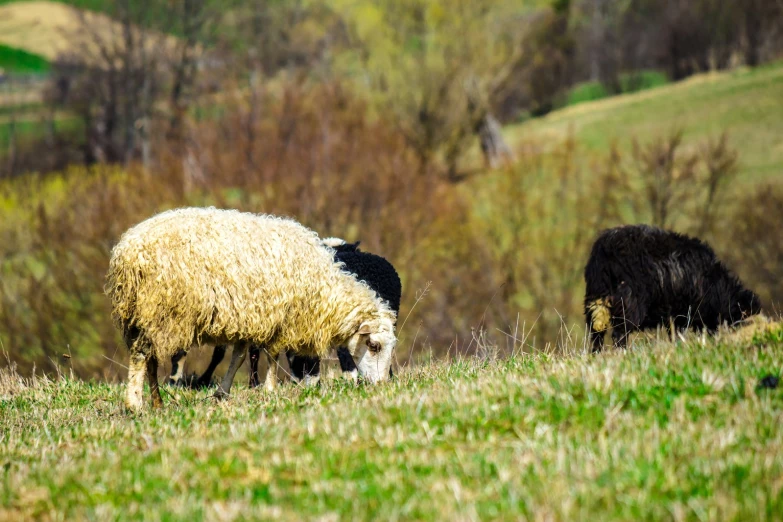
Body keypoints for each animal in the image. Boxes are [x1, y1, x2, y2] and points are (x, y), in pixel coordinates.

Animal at [105, 207, 398, 410]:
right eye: (373, 346)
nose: (381, 387)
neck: (322, 290)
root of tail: (126, 252)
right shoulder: (277, 317)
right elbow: (271, 355)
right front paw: (269, 389)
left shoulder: (250, 318)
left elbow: (239, 357)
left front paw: (222, 393)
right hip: (159, 310)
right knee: (142, 356)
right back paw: (135, 404)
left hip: (141, 315)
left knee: (151, 360)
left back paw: (157, 403)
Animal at [588, 221, 760, 352]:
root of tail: (606, 247)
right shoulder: (682, 313)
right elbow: (677, 334)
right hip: (629, 303)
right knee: (619, 334)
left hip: (594, 301)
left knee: (596, 334)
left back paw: (595, 355)